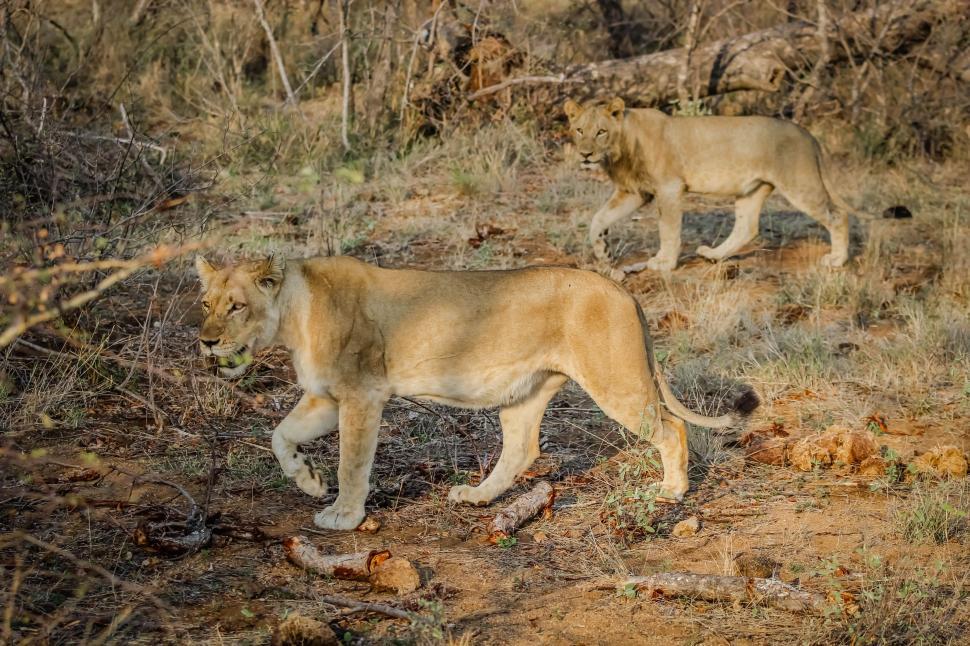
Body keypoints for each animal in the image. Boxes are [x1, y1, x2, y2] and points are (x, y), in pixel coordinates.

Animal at [195, 254, 758, 530]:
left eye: (237, 306)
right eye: (206, 303)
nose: (206, 341)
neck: (294, 316)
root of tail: (622, 289)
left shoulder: (361, 394)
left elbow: (352, 463)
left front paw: (343, 515)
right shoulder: (326, 396)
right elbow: (279, 435)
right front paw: (309, 482)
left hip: (614, 379)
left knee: (672, 426)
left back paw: (673, 489)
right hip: (523, 393)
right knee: (522, 449)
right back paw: (478, 496)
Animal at [564, 97, 850, 271]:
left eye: (601, 131)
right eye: (579, 130)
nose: (585, 155)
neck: (620, 151)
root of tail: (807, 134)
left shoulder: (669, 188)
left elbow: (668, 229)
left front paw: (664, 263)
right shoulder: (634, 191)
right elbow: (599, 219)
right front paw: (604, 253)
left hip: (799, 184)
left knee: (838, 215)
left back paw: (837, 259)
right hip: (752, 189)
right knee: (746, 227)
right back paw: (713, 255)